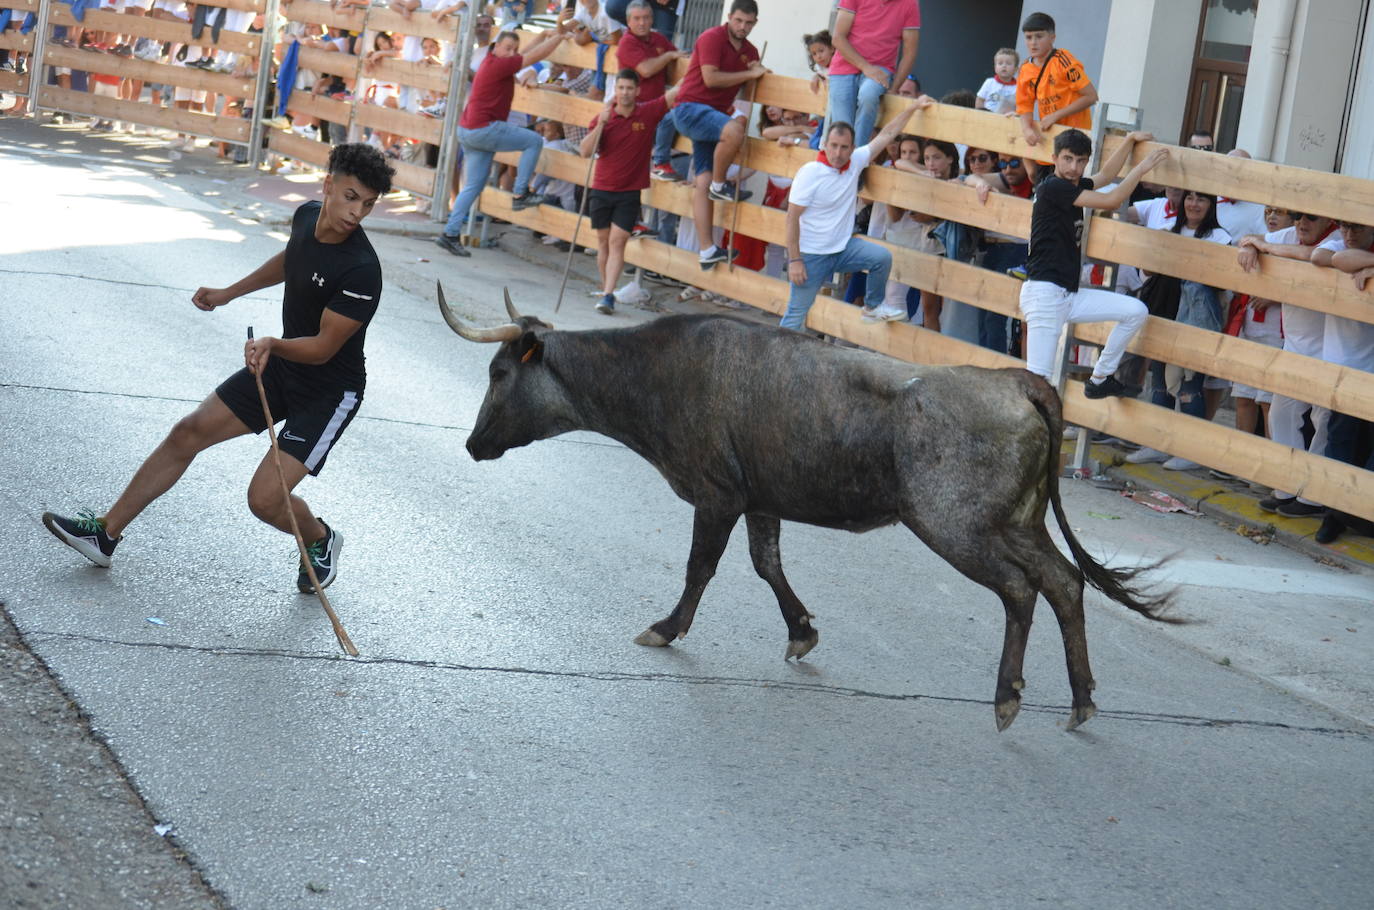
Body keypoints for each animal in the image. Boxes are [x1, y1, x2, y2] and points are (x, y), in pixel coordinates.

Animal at [436, 287, 1170, 736]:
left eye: (499, 373)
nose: (472, 444)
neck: (650, 373)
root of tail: (1020, 380)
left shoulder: (717, 495)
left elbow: (700, 569)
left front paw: (667, 628)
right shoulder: (761, 499)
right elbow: (767, 566)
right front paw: (801, 631)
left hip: (954, 524)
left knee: (1021, 590)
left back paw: (1008, 696)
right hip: (1017, 522)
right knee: (1064, 582)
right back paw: (1081, 700)